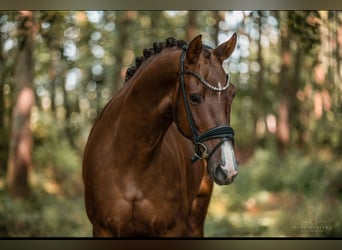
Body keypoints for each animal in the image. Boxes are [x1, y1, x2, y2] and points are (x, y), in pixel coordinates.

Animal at [82, 33, 238, 236]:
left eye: (232, 94)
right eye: (194, 97)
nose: (228, 168)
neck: (131, 162)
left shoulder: (173, 229)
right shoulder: (103, 229)